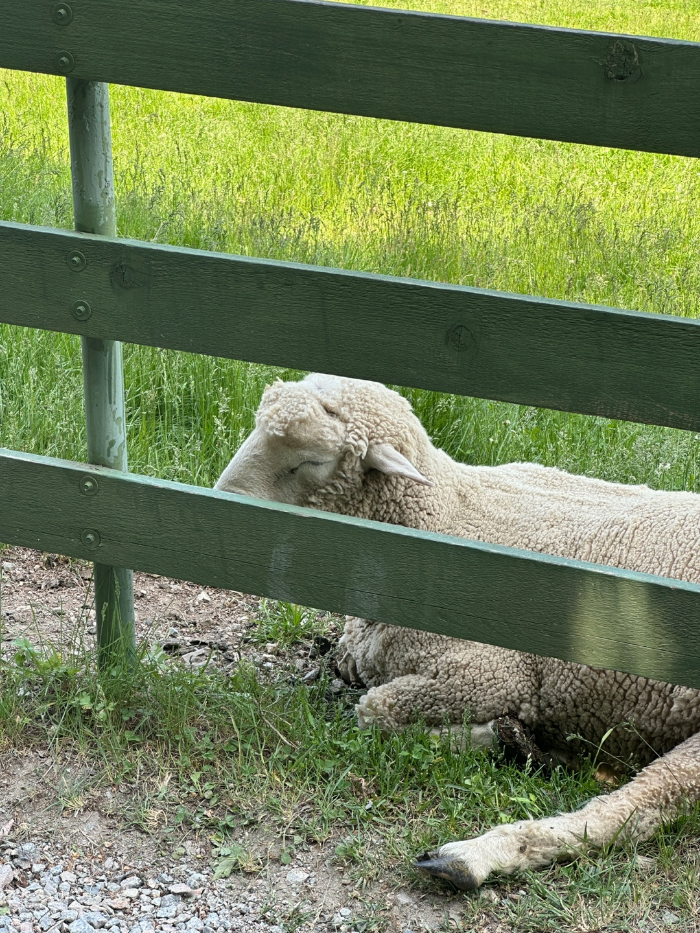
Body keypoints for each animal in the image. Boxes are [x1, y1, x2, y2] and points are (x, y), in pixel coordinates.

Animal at [215, 372, 700, 890]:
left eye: (312, 460)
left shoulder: (490, 673)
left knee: (635, 809)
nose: (223, 503)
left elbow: (374, 712)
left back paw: (475, 850)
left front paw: (500, 735)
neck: (447, 516)